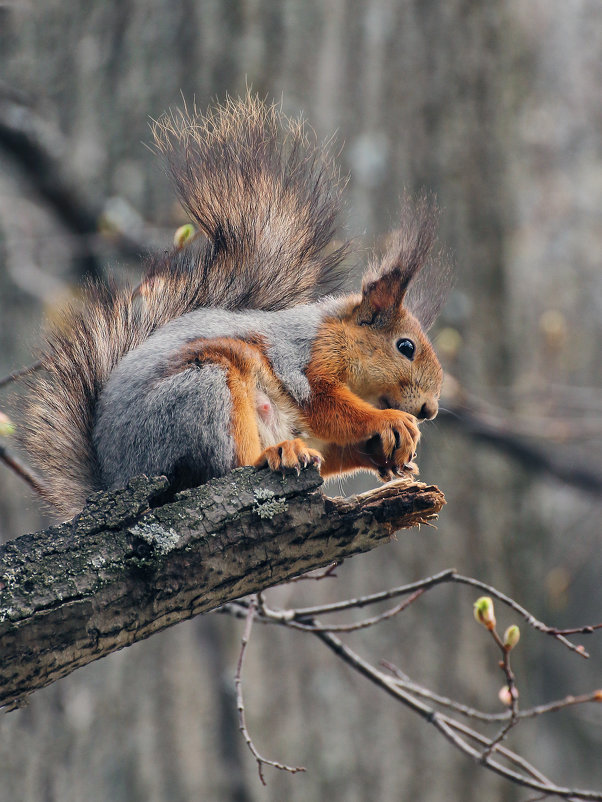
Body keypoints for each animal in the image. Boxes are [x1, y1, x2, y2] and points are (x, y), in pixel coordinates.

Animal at [18, 95, 448, 520]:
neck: (336, 334)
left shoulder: (320, 433)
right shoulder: (307, 364)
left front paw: (386, 455)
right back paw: (274, 453)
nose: (429, 410)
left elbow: (331, 450)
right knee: (226, 466)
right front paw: (389, 421)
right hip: (205, 392)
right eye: (405, 347)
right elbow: (329, 406)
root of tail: (118, 477)